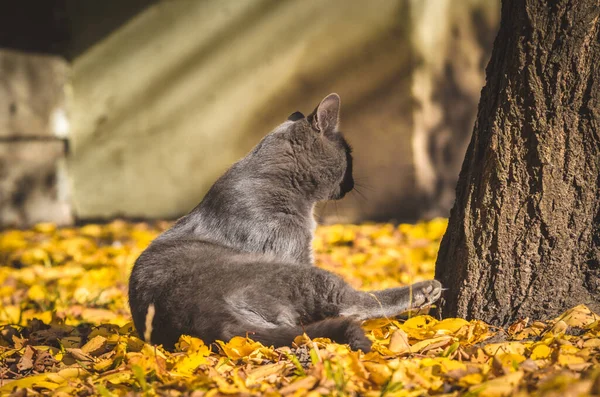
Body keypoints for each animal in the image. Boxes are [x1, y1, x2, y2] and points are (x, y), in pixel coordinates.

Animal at [130, 92, 440, 350]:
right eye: (349, 155)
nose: (353, 182)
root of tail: (208, 313)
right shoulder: (290, 245)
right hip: (299, 274)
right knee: (349, 303)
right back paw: (424, 291)